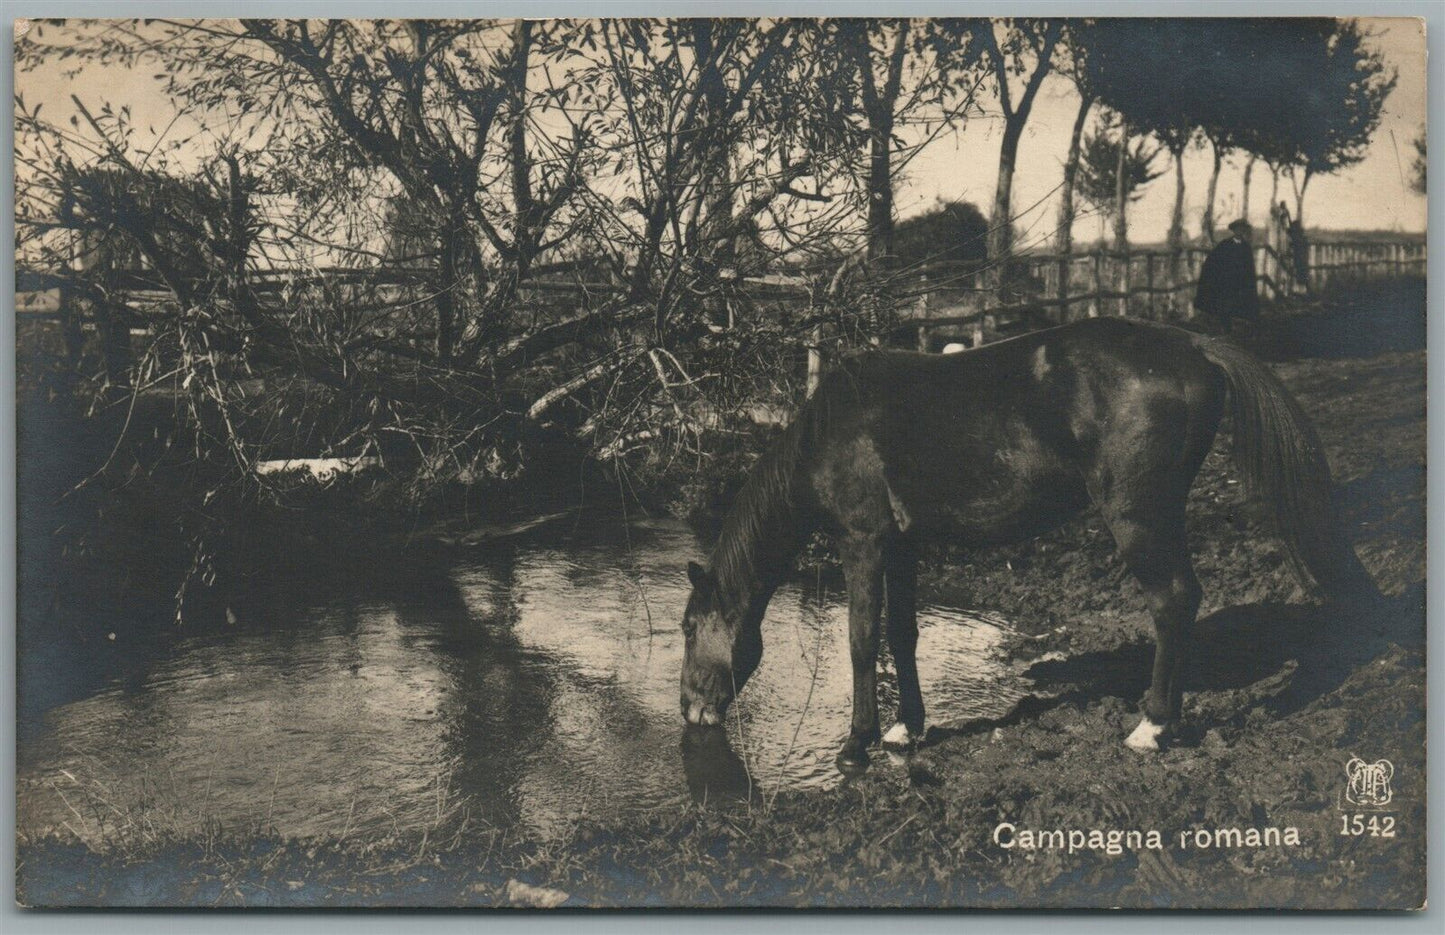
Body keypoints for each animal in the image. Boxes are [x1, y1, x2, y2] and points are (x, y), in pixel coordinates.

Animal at [676, 317, 1375, 774]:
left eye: (687, 627)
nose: (688, 710)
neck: (834, 429)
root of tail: (1194, 345)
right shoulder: (902, 547)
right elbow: (902, 633)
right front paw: (906, 729)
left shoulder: (863, 544)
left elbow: (860, 640)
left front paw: (856, 746)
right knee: (1184, 602)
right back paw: (1167, 720)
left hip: (1139, 517)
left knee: (1173, 599)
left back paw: (1150, 727)